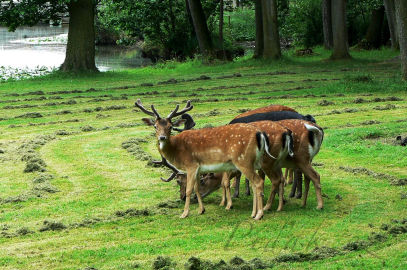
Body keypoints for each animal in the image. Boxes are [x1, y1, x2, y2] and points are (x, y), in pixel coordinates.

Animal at [135, 99, 272, 219]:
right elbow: (196, 188)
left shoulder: (191, 164)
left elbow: (189, 189)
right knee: (255, 183)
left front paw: (184, 213)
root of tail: (259, 134)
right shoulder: (198, 168)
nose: (162, 137)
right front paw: (201, 210)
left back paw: (259, 214)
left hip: (243, 160)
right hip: (252, 162)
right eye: (155, 126)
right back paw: (253, 213)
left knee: (258, 181)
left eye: (170, 126)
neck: (177, 150)